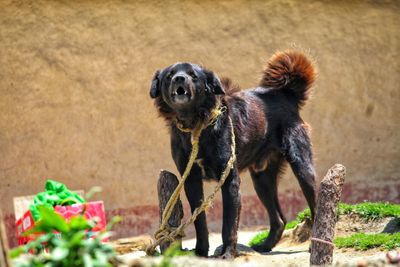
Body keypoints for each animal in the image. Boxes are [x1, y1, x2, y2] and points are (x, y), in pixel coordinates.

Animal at [149, 50, 316, 260]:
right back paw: (265, 246)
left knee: (316, 207)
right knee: (279, 220)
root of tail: (285, 94)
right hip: (262, 180)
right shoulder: (191, 181)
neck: (196, 125)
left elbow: (229, 224)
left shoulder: (229, 179)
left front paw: (228, 253)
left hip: (302, 169)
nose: (179, 78)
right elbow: (199, 220)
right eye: (170, 75)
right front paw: (201, 251)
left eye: (193, 75)